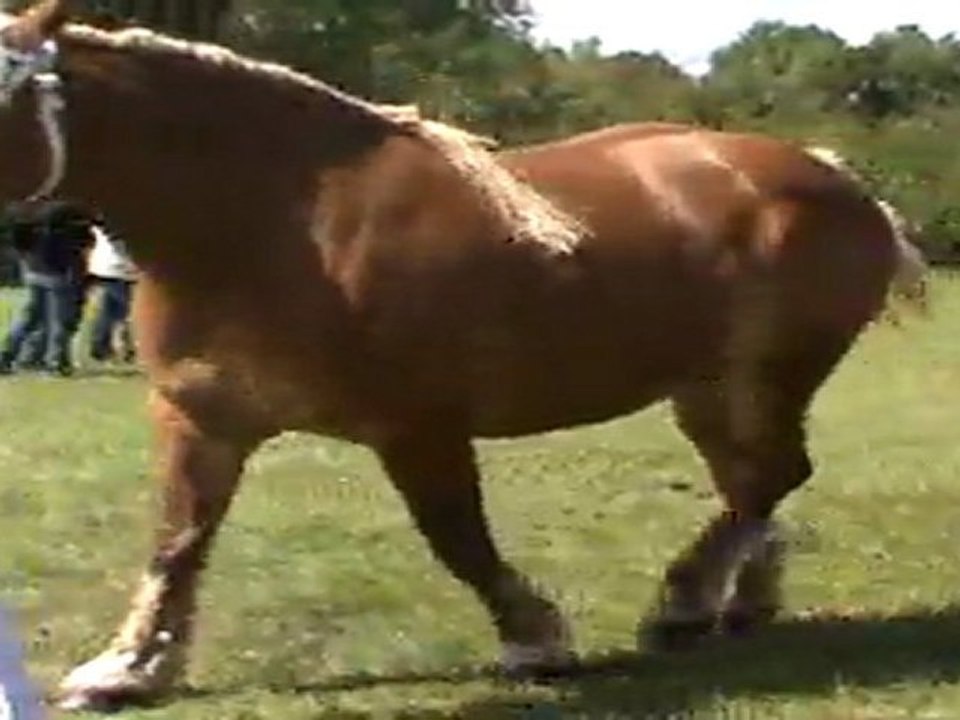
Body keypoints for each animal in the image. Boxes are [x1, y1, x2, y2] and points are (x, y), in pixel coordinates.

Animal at [0, 0, 927, 711]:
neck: (275, 221)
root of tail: (839, 178)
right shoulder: (203, 420)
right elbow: (177, 541)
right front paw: (130, 669)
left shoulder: (418, 426)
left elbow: (458, 539)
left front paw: (536, 640)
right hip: (706, 388)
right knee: (752, 481)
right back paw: (740, 602)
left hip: (771, 374)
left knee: (769, 476)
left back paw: (685, 605)